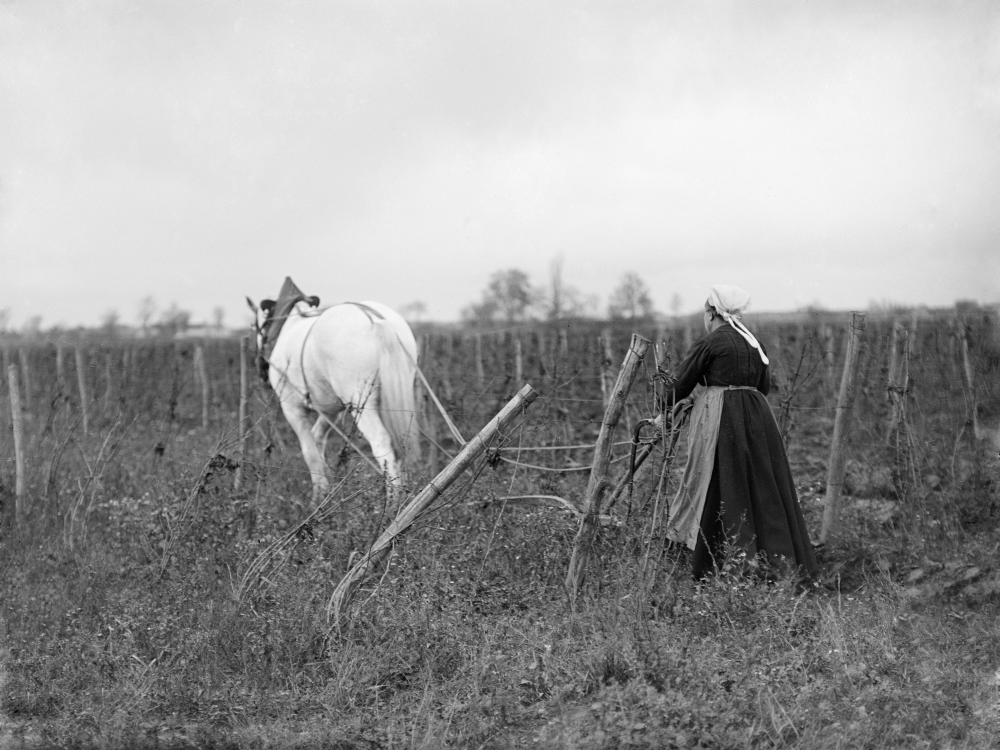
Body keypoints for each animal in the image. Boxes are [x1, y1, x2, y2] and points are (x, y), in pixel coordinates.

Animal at [252, 280, 424, 502]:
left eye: (259, 324)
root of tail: (378, 322)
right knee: (401, 443)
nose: (259, 366)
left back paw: (393, 502)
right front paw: (325, 491)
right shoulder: (332, 409)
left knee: (382, 444)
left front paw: (318, 496)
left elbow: (309, 452)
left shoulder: (292, 407)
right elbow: (318, 439)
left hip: (362, 405)